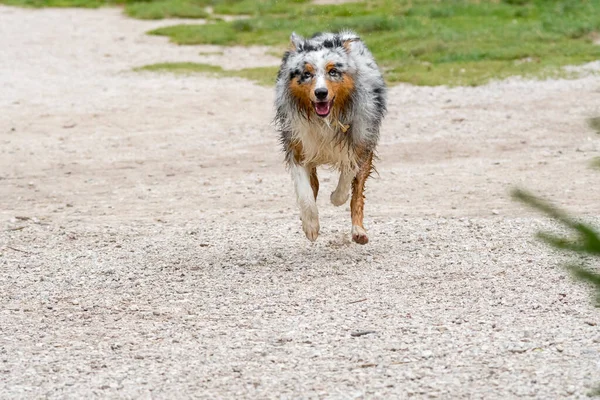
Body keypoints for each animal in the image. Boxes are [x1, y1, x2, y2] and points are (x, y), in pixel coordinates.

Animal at [274, 30, 386, 244]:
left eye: (333, 71)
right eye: (306, 74)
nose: (321, 93)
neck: (324, 120)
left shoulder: (360, 140)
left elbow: (348, 176)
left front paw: (336, 198)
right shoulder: (298, 145)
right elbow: (305, 193)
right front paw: (310, 226)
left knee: (357, 192)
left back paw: (358, 231)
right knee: (314, 185)